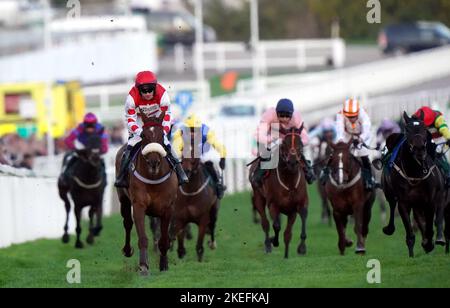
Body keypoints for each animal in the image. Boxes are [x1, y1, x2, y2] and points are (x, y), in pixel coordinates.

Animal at [115, 112, 178, 276]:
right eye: (143, 135)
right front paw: (143, 266)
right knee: (127, 223)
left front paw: (164, 265)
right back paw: (127, 250)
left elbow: (164, 239)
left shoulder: (168, 208)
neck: (153, 178)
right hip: (123, 199)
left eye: (162, 135)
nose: (154, 162)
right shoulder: (139, 205)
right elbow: (142, 238)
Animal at [250, 124, 310, 258]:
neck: (289, 181)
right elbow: (276, 226)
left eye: (301, 144)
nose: (292, 162)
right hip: (258, 196)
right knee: (265, 223)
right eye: (283, 144)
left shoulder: (298, 205)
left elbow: (297, 223)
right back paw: (268, 244)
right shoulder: (273, 204)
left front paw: (302, 248)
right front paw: (274, 241)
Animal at [382, 112, 444, 256]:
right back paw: (389, 228)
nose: (419, 149)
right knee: (392, 206)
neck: (415, 172)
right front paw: (413, 253)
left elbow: (429, 226)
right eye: (407, 130)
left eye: (424, 129)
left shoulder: (429, 200)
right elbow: (410, 235)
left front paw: (428, 244)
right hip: (389, 193)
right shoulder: (404, 202)